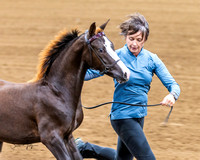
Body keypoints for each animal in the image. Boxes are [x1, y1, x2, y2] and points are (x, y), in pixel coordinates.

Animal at [0, 20, 130, 159]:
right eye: (100, 49)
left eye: (112, 46)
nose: (126, 73)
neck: (58, 93)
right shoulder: (51, 138)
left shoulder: (68, 136)